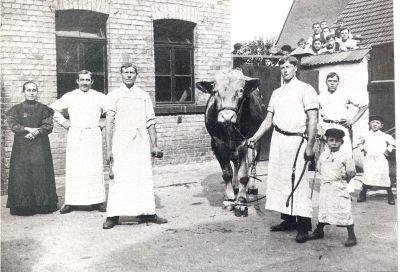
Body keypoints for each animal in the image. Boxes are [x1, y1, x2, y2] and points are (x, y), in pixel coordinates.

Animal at [196, 69, 268, 216]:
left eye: (241, 91)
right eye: (215, 91)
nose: (227, 117)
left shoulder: (246, 142)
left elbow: (244, 174)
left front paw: (241, 202)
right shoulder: (217, 144)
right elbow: (227, 173)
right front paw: (229, 199)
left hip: (257, 142)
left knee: (253, 163)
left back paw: (251, 187)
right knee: (235, 163)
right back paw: (235, 186)